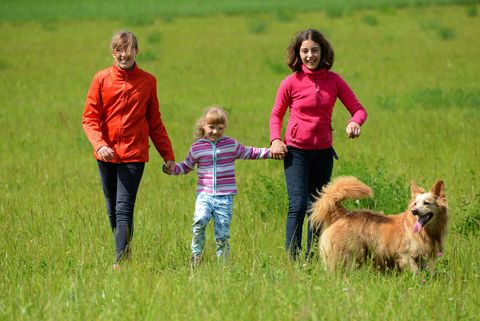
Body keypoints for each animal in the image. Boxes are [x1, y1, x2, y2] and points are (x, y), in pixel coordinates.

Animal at [310, 175, 448, 272]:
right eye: (415, 204)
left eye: (426, 203)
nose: (414, 211)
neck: (425, 232)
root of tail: (345, 214)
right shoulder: (405, 255)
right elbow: (415, 272)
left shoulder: (423, 258)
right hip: (346, 255)